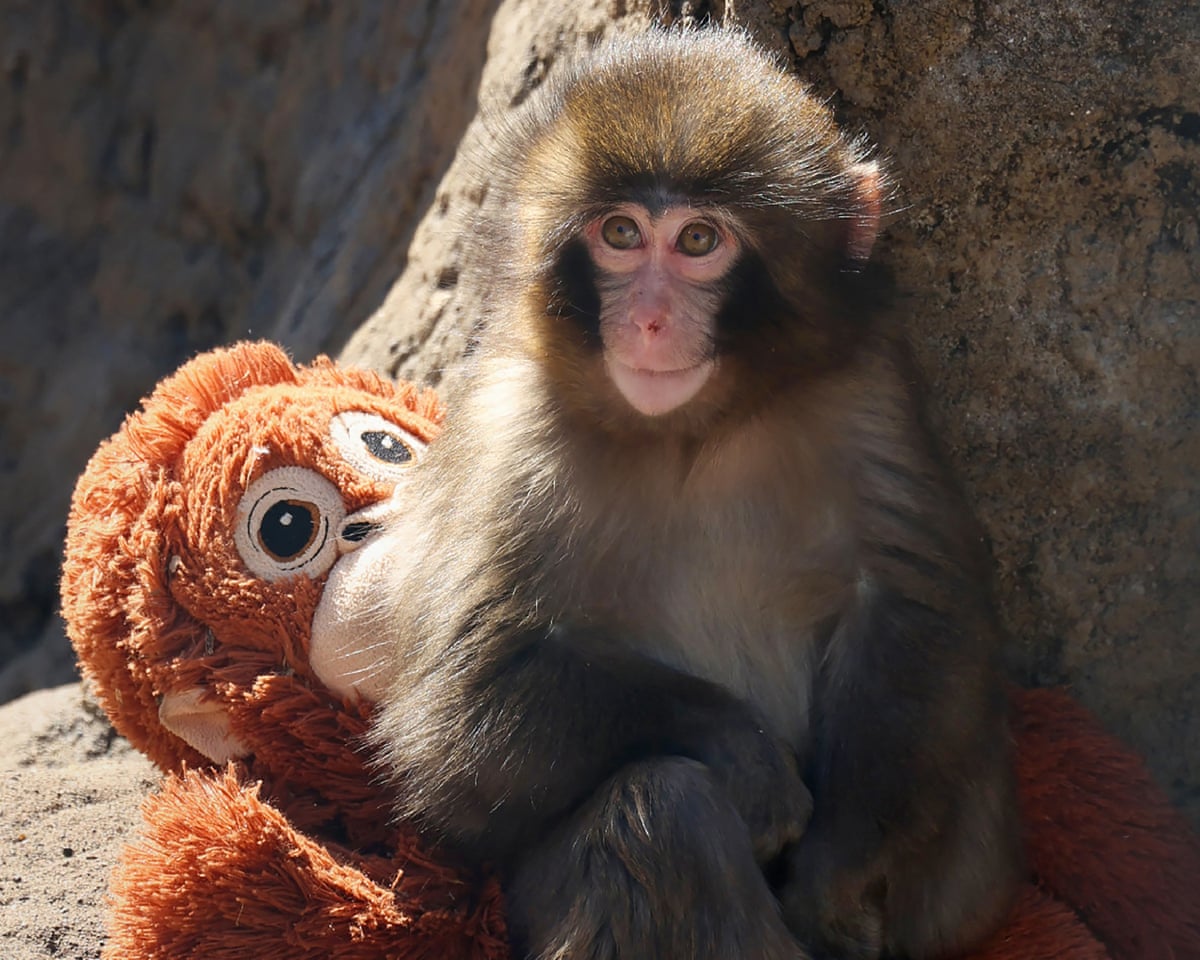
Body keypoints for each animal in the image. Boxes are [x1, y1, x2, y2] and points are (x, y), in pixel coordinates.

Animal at [364, 27, 1024, 960]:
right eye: (620, 233)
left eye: (700, 241)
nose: (646, 320)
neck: (693, 433)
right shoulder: (510, 431)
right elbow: (463, 708)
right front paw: (743, 753)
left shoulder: (867, 388)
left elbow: (911, 609)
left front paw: (836, 874)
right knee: (661, 811)